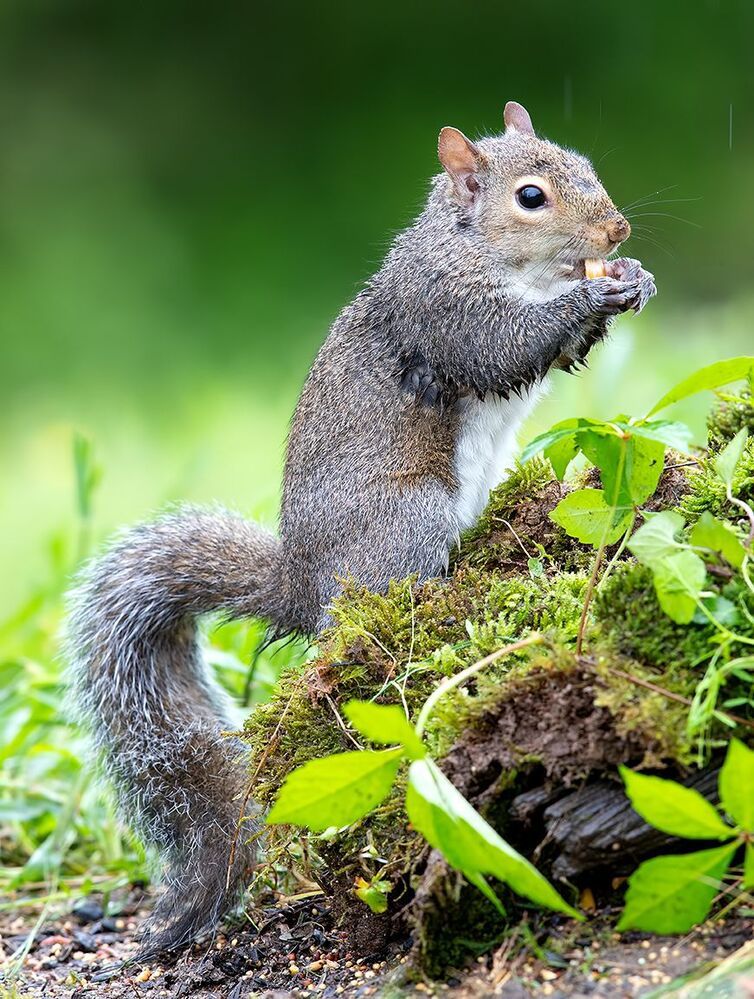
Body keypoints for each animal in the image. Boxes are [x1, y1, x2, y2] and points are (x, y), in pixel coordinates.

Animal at [67, 101, 656, 955]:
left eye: (584, 164)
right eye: (532, 197)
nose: (615, 230)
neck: (483, 247)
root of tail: (302, 584)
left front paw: (633, 276)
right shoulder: (444, 305)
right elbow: (500, 347)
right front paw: (591, 299)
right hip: (408, 520)